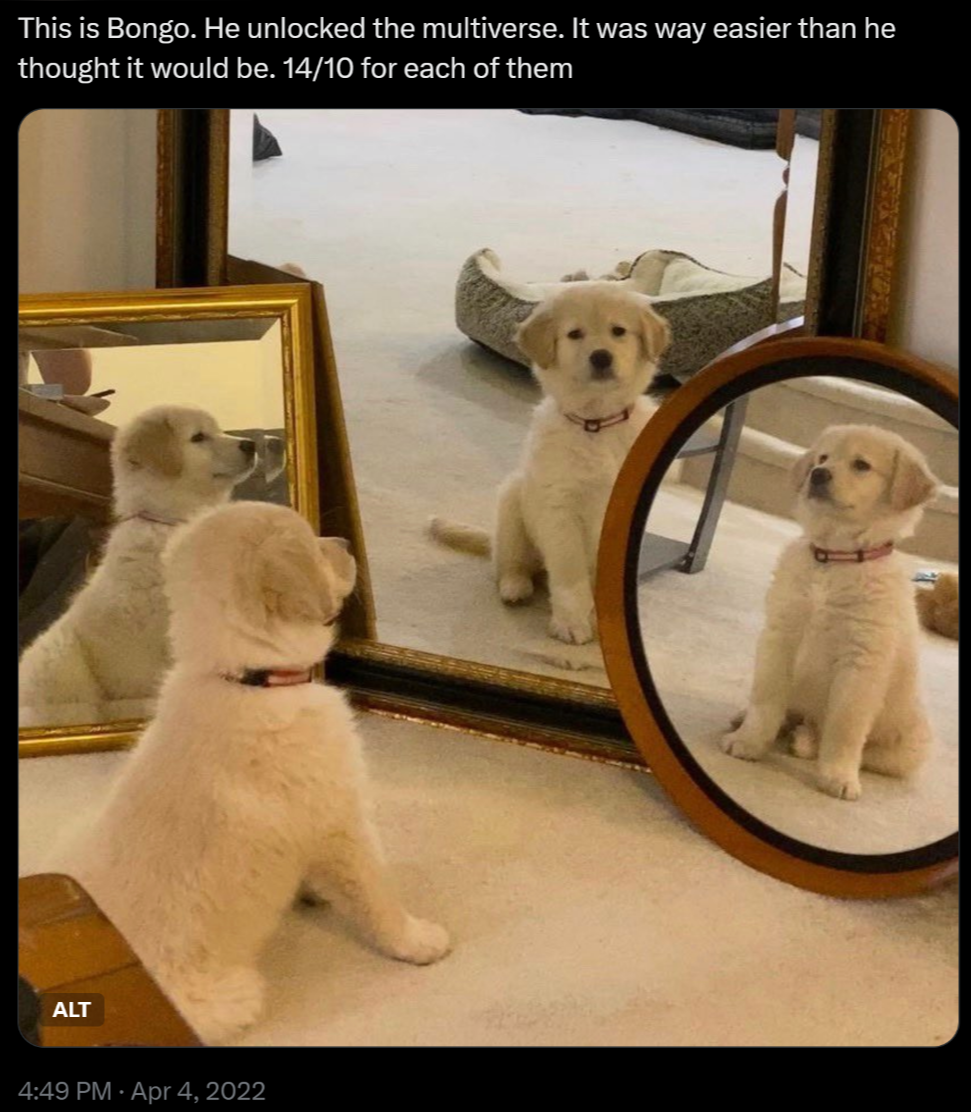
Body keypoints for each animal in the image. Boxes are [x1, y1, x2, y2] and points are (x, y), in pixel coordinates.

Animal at [59, 504, 451, 1040]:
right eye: (312, 544)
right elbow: (376, 892)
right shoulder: (341, 822)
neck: (250, 679)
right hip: (235, 994)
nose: (345, 542)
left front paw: (313, 893)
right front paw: (417, 940)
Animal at [433, 284, 671, 644]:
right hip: (512, 504)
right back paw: (515, 587)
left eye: (618, 331)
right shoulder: (560, 509)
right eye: (574, 334)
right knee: (510, 565)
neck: (596, 424)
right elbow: (570, 575)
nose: (601, 357)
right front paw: (572, 622)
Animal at [720, 422, 938, 800]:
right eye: (822, 458)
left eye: (862, 465)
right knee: (789, 712)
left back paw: (808, 742)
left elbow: (845, 726)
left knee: (853, 746)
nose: (818, 474)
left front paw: (838, 775)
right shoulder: (781, 634)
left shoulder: (861, 661)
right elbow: (766, 698)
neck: (835, 558)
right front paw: (748, 740)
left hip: (908, 747)